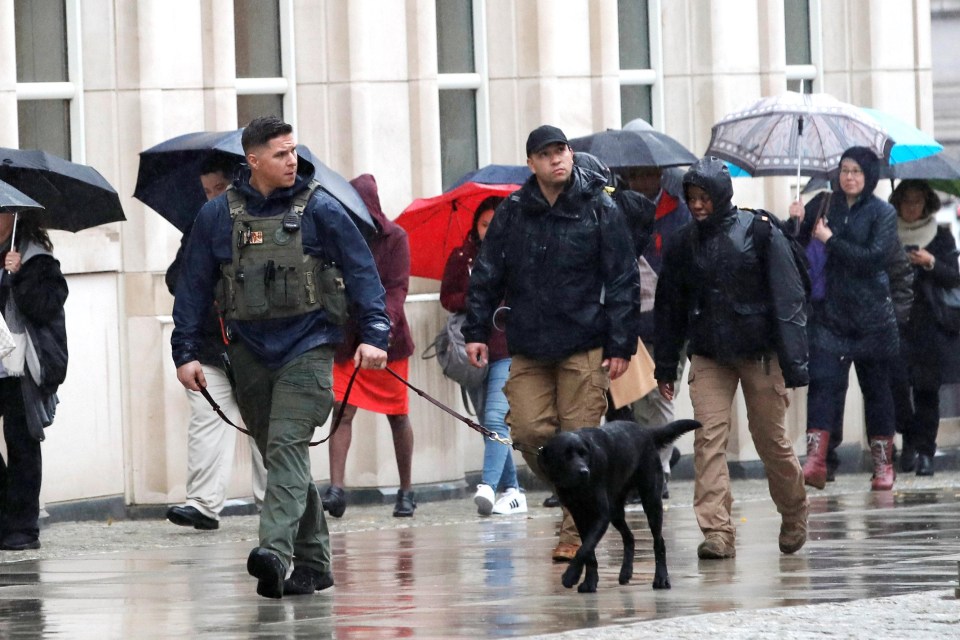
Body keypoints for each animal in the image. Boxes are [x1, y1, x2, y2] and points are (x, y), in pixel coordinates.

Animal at [536, 420, 700, 596]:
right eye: (565, 456)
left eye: (583, 454)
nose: (584, 471)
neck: (577, 488)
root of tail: (645, 431)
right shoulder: (579, 515)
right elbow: (588, 551)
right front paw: (589, 582)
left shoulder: (601, 515)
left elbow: (584, 548)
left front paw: (571, 576)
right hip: (615, 511)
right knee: (629, 537)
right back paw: (626, 572)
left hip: (651, 502)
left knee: (659, 542)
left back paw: (661, 578)